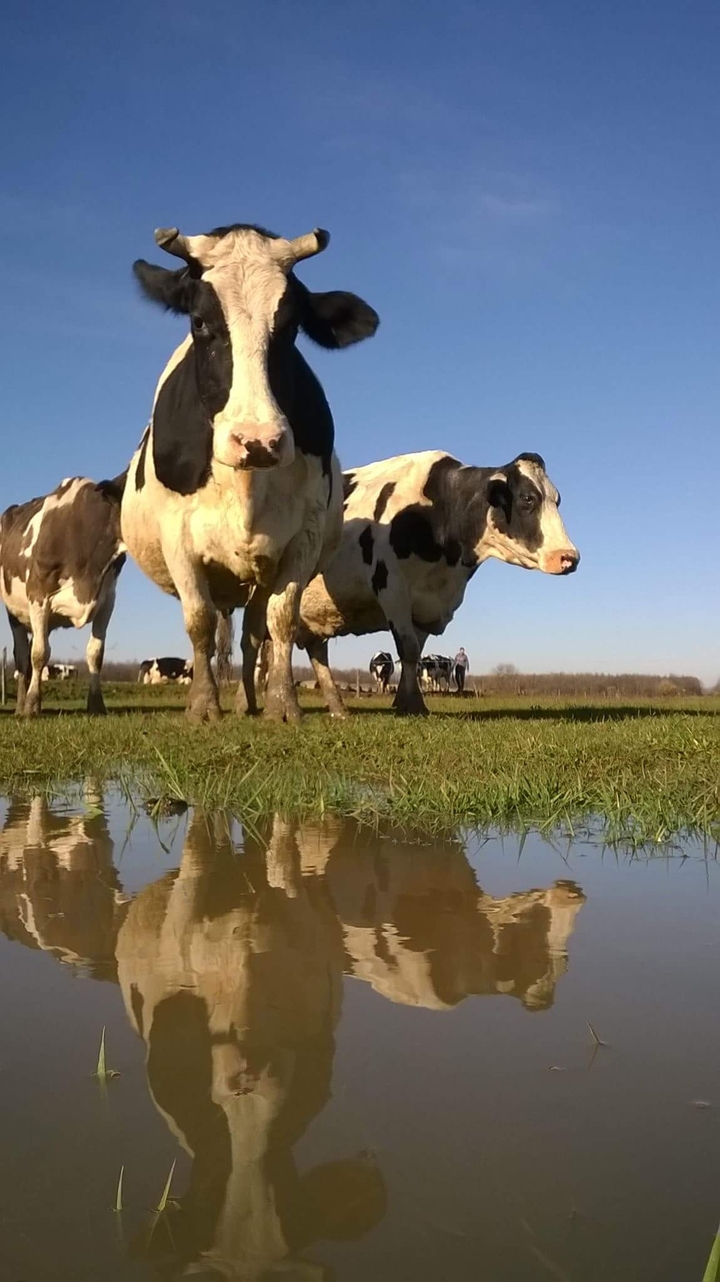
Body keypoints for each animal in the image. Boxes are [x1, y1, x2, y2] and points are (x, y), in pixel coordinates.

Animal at [1, 475, 126, 716]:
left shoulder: (108, 600)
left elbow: (95, 653)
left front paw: (96, 705)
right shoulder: (38, 595)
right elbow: (39, 654)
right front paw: (30, 705)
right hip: (15, 614)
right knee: (22, 655)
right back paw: (21, 706)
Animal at [121, 221, 378, 724]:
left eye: (292, 327)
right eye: (199, 321)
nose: (258, 440)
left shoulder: (304, 536)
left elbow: (281, 620)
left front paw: (283, 704)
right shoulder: (176, 534)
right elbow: (198, 622)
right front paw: (203, 706)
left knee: (252, 633)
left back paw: (247, 701)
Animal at [297, 450, 579, 716]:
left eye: (557, 500)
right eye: (527, 499)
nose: (570, 557)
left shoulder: (426, 605)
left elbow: (415, 653)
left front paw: (404, 701)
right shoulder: (392, 588)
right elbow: (408, 648)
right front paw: (412, 704)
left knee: (315, 652)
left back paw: (335, 706)